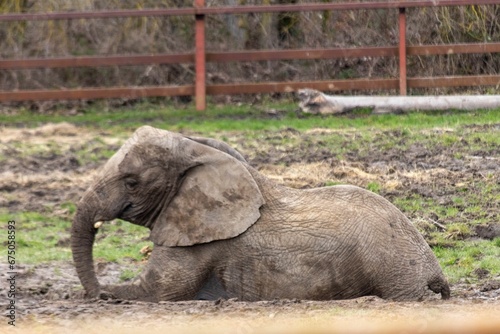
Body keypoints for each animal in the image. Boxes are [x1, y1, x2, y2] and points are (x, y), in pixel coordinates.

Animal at [72, 126, 452, 302]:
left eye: (132, 182)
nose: (95, 294)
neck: (198, 153)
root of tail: (433, 267)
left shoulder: (198, 240)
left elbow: (158, 291)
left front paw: (105, 294)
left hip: (393, 272)